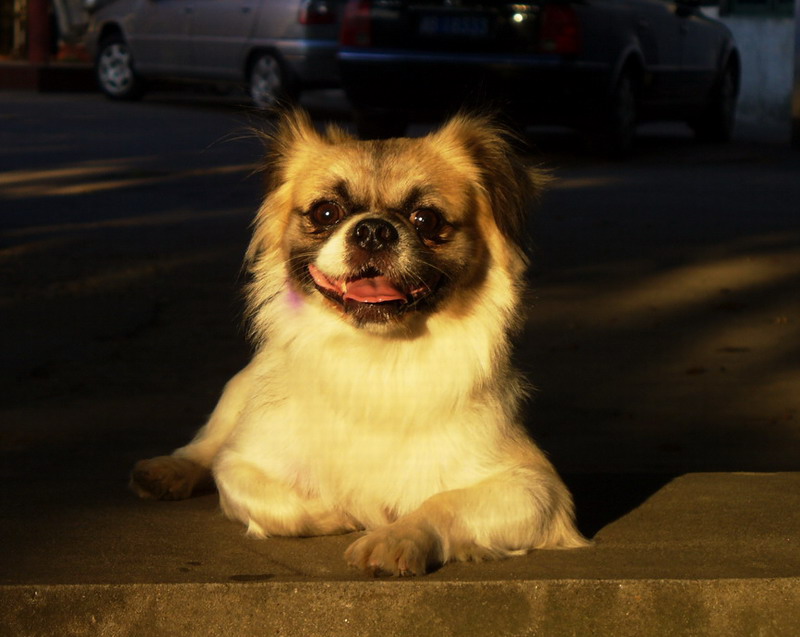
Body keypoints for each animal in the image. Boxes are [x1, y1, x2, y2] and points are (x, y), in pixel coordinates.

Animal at [128, 110, 584, 576]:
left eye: (426, 220)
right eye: (326, 212)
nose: (374, 230)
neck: (377, 356)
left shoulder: (534, 488)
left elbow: (442, 504)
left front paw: (393, 538)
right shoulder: (241, 462)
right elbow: (265, 495)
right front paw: (342, 513)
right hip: (238, 390)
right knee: (207, 444)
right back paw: (168, 470)